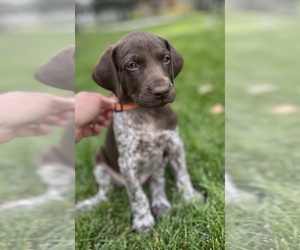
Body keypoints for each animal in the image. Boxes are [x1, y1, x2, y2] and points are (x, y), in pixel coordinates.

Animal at [75, 31, 202, 232]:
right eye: (132, 65)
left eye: (166, 59)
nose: (162, 91)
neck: (146, 112)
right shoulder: (128, 161)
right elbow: (137, 195)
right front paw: (143, 220)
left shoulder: (174, 145)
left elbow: (182, 175)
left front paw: (190, 197)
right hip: (100, 161)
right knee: (105, 192)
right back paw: (90, 203)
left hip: (158, 163)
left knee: (158, 182)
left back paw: (161, 204)